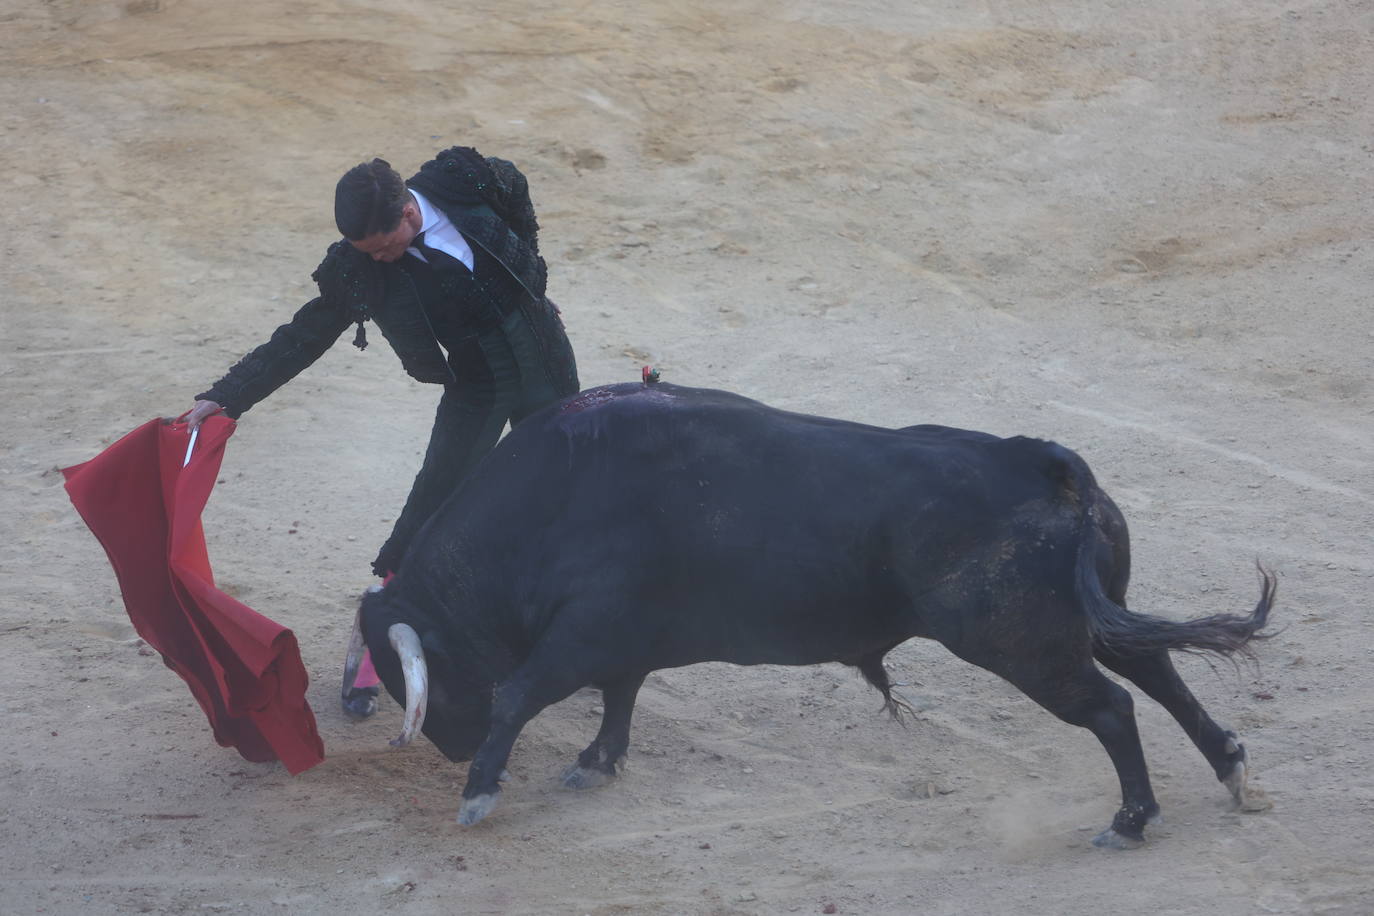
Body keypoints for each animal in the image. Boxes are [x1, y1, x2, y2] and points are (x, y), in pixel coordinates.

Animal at [348, 379, 1269, 845]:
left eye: (418, 673)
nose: (452, 748)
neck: (548, 500)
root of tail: (1041, 460)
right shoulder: (620, 638)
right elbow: (621, 696)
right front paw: (595, 762)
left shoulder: (582, 632)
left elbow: (522, 692)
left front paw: (479, 794)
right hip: (1090, 615)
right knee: (1154, 669)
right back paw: (1232, 770)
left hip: (1022, 642)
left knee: (1112, 707)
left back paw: (1131, 819)